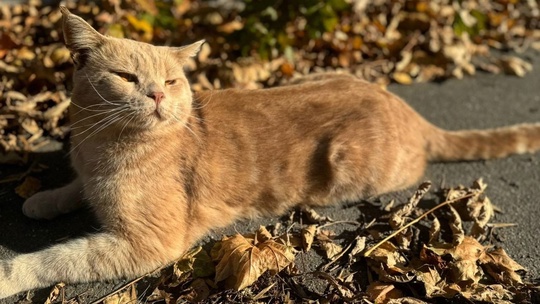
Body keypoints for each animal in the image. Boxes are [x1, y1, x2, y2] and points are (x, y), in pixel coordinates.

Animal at [1, 6, 540, 300]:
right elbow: (72, 189)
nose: (155, 95)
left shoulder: (148, 243)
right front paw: (43, 199)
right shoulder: (90, 178)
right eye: (126, 77)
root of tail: (403, 105)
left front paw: (11, 274)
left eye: (171, 81)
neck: (102, 147)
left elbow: (57, 259)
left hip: (348, 165)